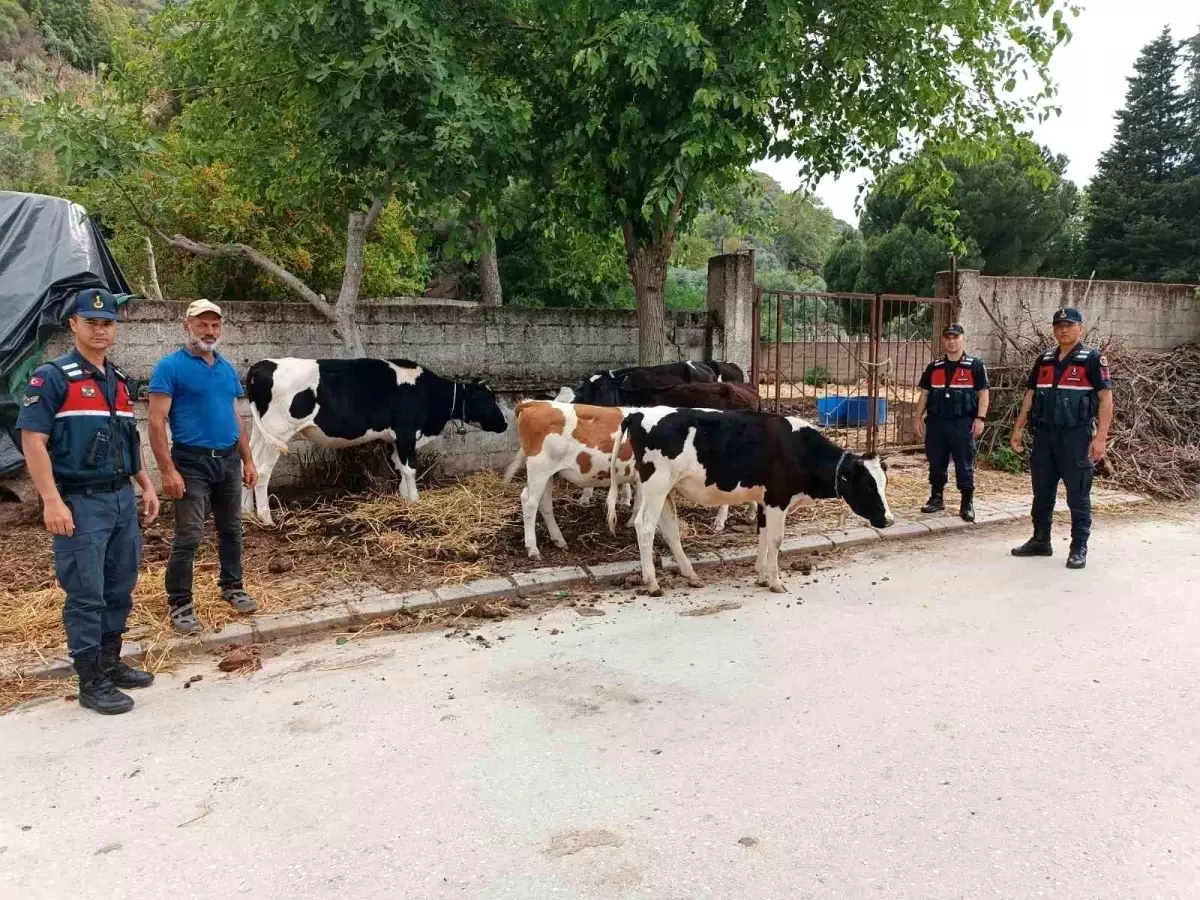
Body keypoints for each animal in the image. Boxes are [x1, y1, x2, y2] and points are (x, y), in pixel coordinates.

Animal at [243, 360, 506, 525]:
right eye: (488, 400)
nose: (504, 424)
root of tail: (262, 365)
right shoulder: (406, 432)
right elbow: (410, 469)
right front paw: (416, 501)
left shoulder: (395, 438)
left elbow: (399, 468)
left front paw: (403, 499)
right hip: (278, 432)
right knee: (263, 472)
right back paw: (266, 518)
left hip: (261, 432)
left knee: (250, 464)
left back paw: (246, 512)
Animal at [609, 410, 892, 595]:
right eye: (867, 486)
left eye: (884, 483)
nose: (889, 520)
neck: (800, 450)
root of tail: (639, 413)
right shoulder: (778, 500)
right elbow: (776, 540)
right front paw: (775, 581)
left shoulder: (765, 501)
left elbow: (763, 536)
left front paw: (762, 576)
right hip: (656, 484)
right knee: (644, 526)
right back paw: (652, 583)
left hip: (664, 489)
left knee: (670, 530)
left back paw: (691, 575)